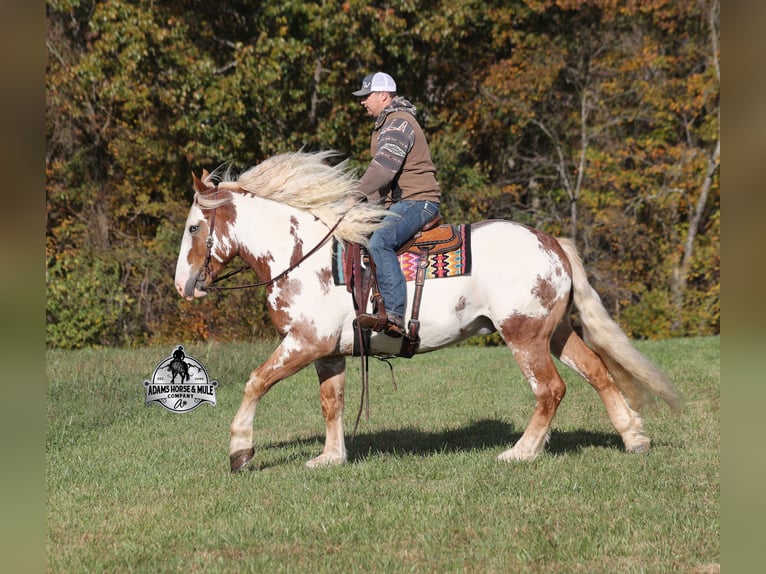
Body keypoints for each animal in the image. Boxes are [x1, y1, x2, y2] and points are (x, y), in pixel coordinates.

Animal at [174, 151, 681, 472]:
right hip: (553, 332)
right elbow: (332, 403)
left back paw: (521, 453)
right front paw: (330, 458)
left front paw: (241, 450)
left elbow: (256, 382)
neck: (303, 255)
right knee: (597, 371)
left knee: (550, 390)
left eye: (195, 227)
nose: (183, 285)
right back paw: (633, 437)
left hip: (524, 336)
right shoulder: (328, 351)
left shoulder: (305, 342)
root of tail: (551, 241)